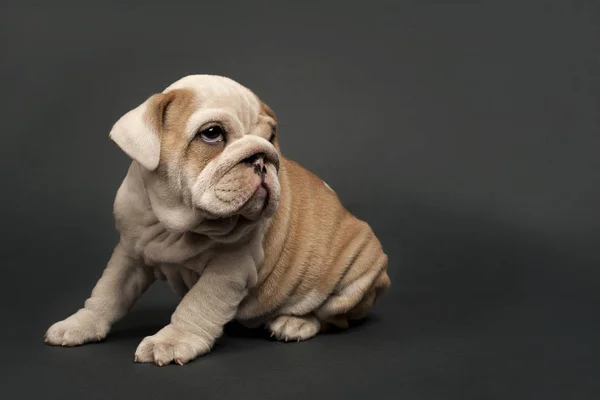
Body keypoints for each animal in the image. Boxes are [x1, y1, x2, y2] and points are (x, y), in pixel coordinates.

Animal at [44, 74, 392, 366]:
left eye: (271, 137)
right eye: (212, 134)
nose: (262, 157)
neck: (177, 224)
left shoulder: (229, 268)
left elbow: (198, 304)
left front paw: (172, 341)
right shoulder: (129, 253)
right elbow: (108, 291)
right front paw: (80, 323)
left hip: (356, 276)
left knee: (333, 317)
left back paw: (295, 323)